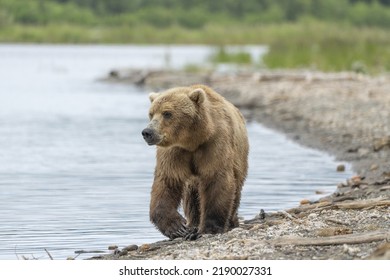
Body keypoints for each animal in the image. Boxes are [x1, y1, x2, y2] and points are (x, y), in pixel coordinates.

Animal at [142, 84, 248, 240]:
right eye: (151, 113)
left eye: (167, 113)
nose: (147, 132)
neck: (192, 141)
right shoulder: (174, 152)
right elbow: (167, 181)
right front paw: (177, 227)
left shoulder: (215, 144)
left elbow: (216, 180)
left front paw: (210, 228)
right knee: (192, 197)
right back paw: (193, 225)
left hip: (239, 158)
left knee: (236, 189)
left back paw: (231, 221)